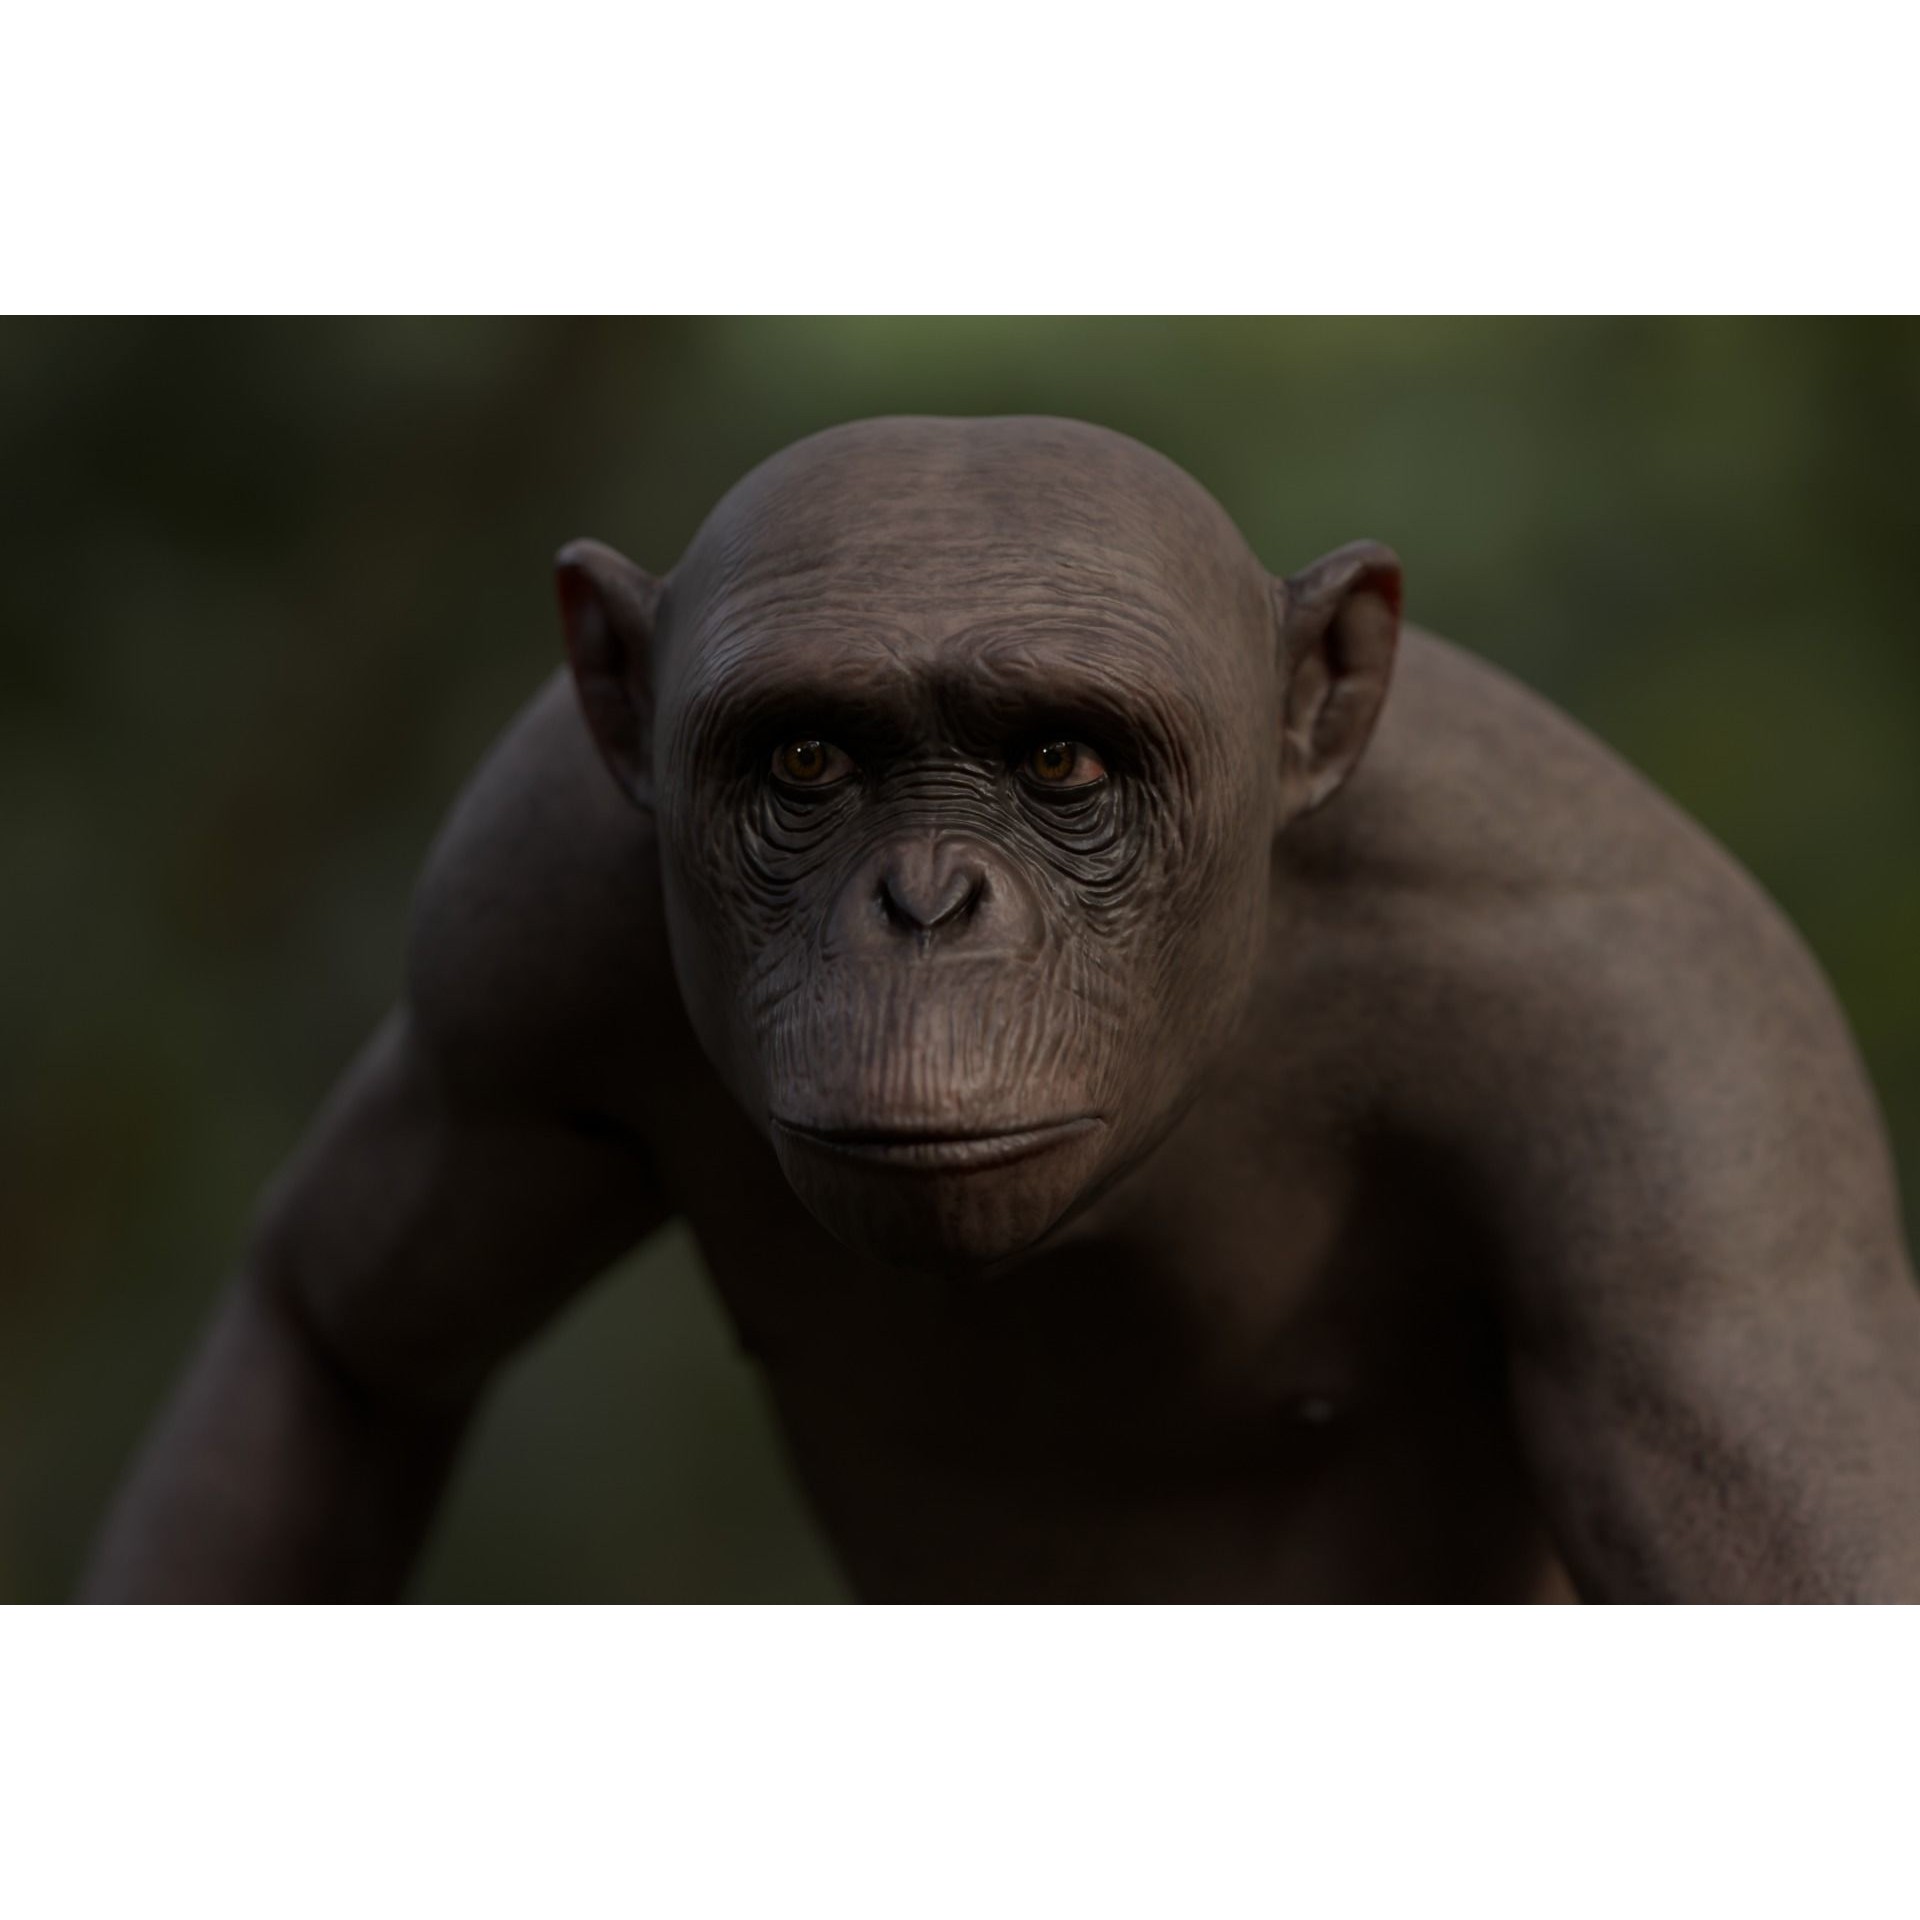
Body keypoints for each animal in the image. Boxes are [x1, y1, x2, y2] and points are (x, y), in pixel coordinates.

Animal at [82, 415, 1920, 1602]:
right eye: (807, 760)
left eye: (1062, 765)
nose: (926, 901)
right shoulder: (506, 932)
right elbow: (340, 1337)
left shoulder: (1661, 1054)